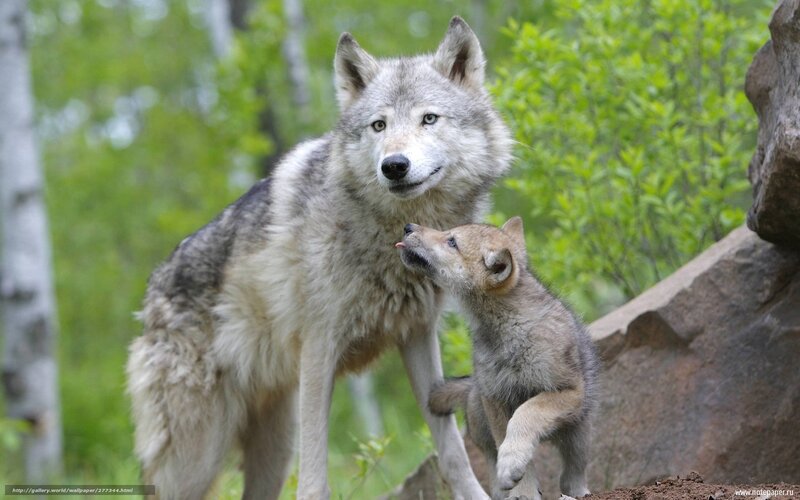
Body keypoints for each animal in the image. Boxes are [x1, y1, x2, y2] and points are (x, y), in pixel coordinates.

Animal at [125, 16, 512, 500]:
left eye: (429, 118)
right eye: (378, 125)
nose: (394, 165)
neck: (390, 236)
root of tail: (150, 295)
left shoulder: (418, 336)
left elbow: (453, 453)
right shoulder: (318, 350)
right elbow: (314, 478)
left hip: (273, 446)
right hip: (197, 457)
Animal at [396, 218, 599, 500]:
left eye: (452, 241)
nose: (408, 226)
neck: (508, 330)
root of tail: (471, 386)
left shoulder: (567, 391)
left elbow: (527, 413)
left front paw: (513, 465)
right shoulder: (496, 399)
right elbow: (508, 441)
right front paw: (521, 490)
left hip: (578, 433)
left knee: (572, 473)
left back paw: (577, 492)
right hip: (482, 424)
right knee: (492, 466)